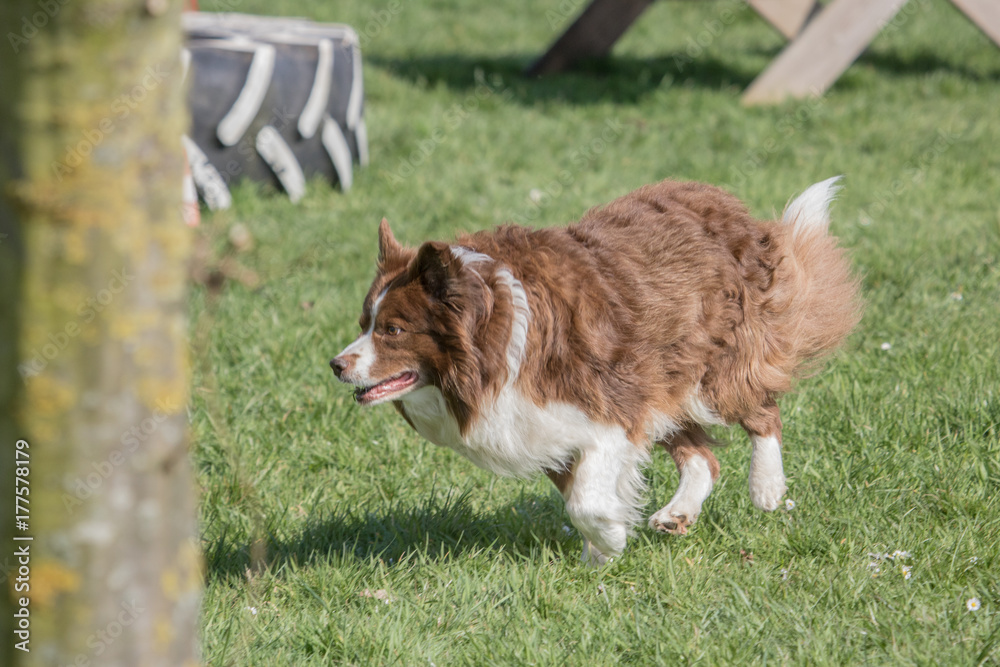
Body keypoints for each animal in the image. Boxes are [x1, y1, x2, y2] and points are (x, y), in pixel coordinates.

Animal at [332, 176, 864, 564]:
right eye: (364, 323)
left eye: (394, 330)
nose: (336, 365)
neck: (493, 345)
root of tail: (726, 204)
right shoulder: (548, 426)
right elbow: (581, 491)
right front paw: (599, 556)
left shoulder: (610, 408)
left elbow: (586, 499)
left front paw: (609, 539)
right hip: (661, 379)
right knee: (701, 457)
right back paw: (678, 513)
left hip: (711, 368)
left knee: (762, 411)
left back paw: (767, 487)